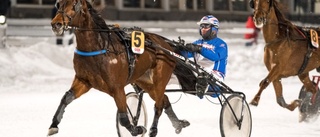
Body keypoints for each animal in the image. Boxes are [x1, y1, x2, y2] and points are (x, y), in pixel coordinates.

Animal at [47, 0, 195, 136]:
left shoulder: (117, 88)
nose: (56, 24)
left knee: (158, 105)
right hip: (145, 81)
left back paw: (153, 129)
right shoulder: (84, 80)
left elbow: (124, 118)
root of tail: (165, 44)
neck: (99, 47)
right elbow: (66, 98)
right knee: (164, 99)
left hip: (160, 78)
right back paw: (178, 124)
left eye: (74, 5)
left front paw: (137, 128)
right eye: (58, 3)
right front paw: (53, 125)